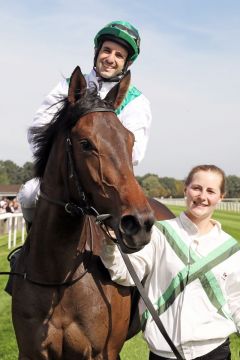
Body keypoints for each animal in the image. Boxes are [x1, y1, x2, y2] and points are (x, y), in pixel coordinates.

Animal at [11, 66, 174, 358]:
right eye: (86, 143)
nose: (139, 224)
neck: (57, 279)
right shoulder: (30, 351)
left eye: (130, 140)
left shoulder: (103, 351)